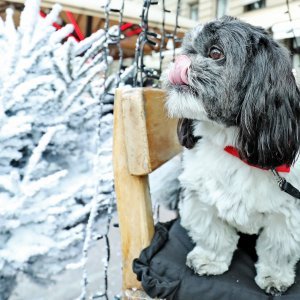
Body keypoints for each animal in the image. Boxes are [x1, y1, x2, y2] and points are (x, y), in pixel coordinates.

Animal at [164, 16, 300, 296]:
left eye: (216, 53)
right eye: (186, 48)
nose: (180, 59)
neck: (231, 148)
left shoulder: (287, 213)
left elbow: (278, 248)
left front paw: (275, 277)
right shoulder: (200, 198)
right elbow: (213, 233)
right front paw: (209, 259)